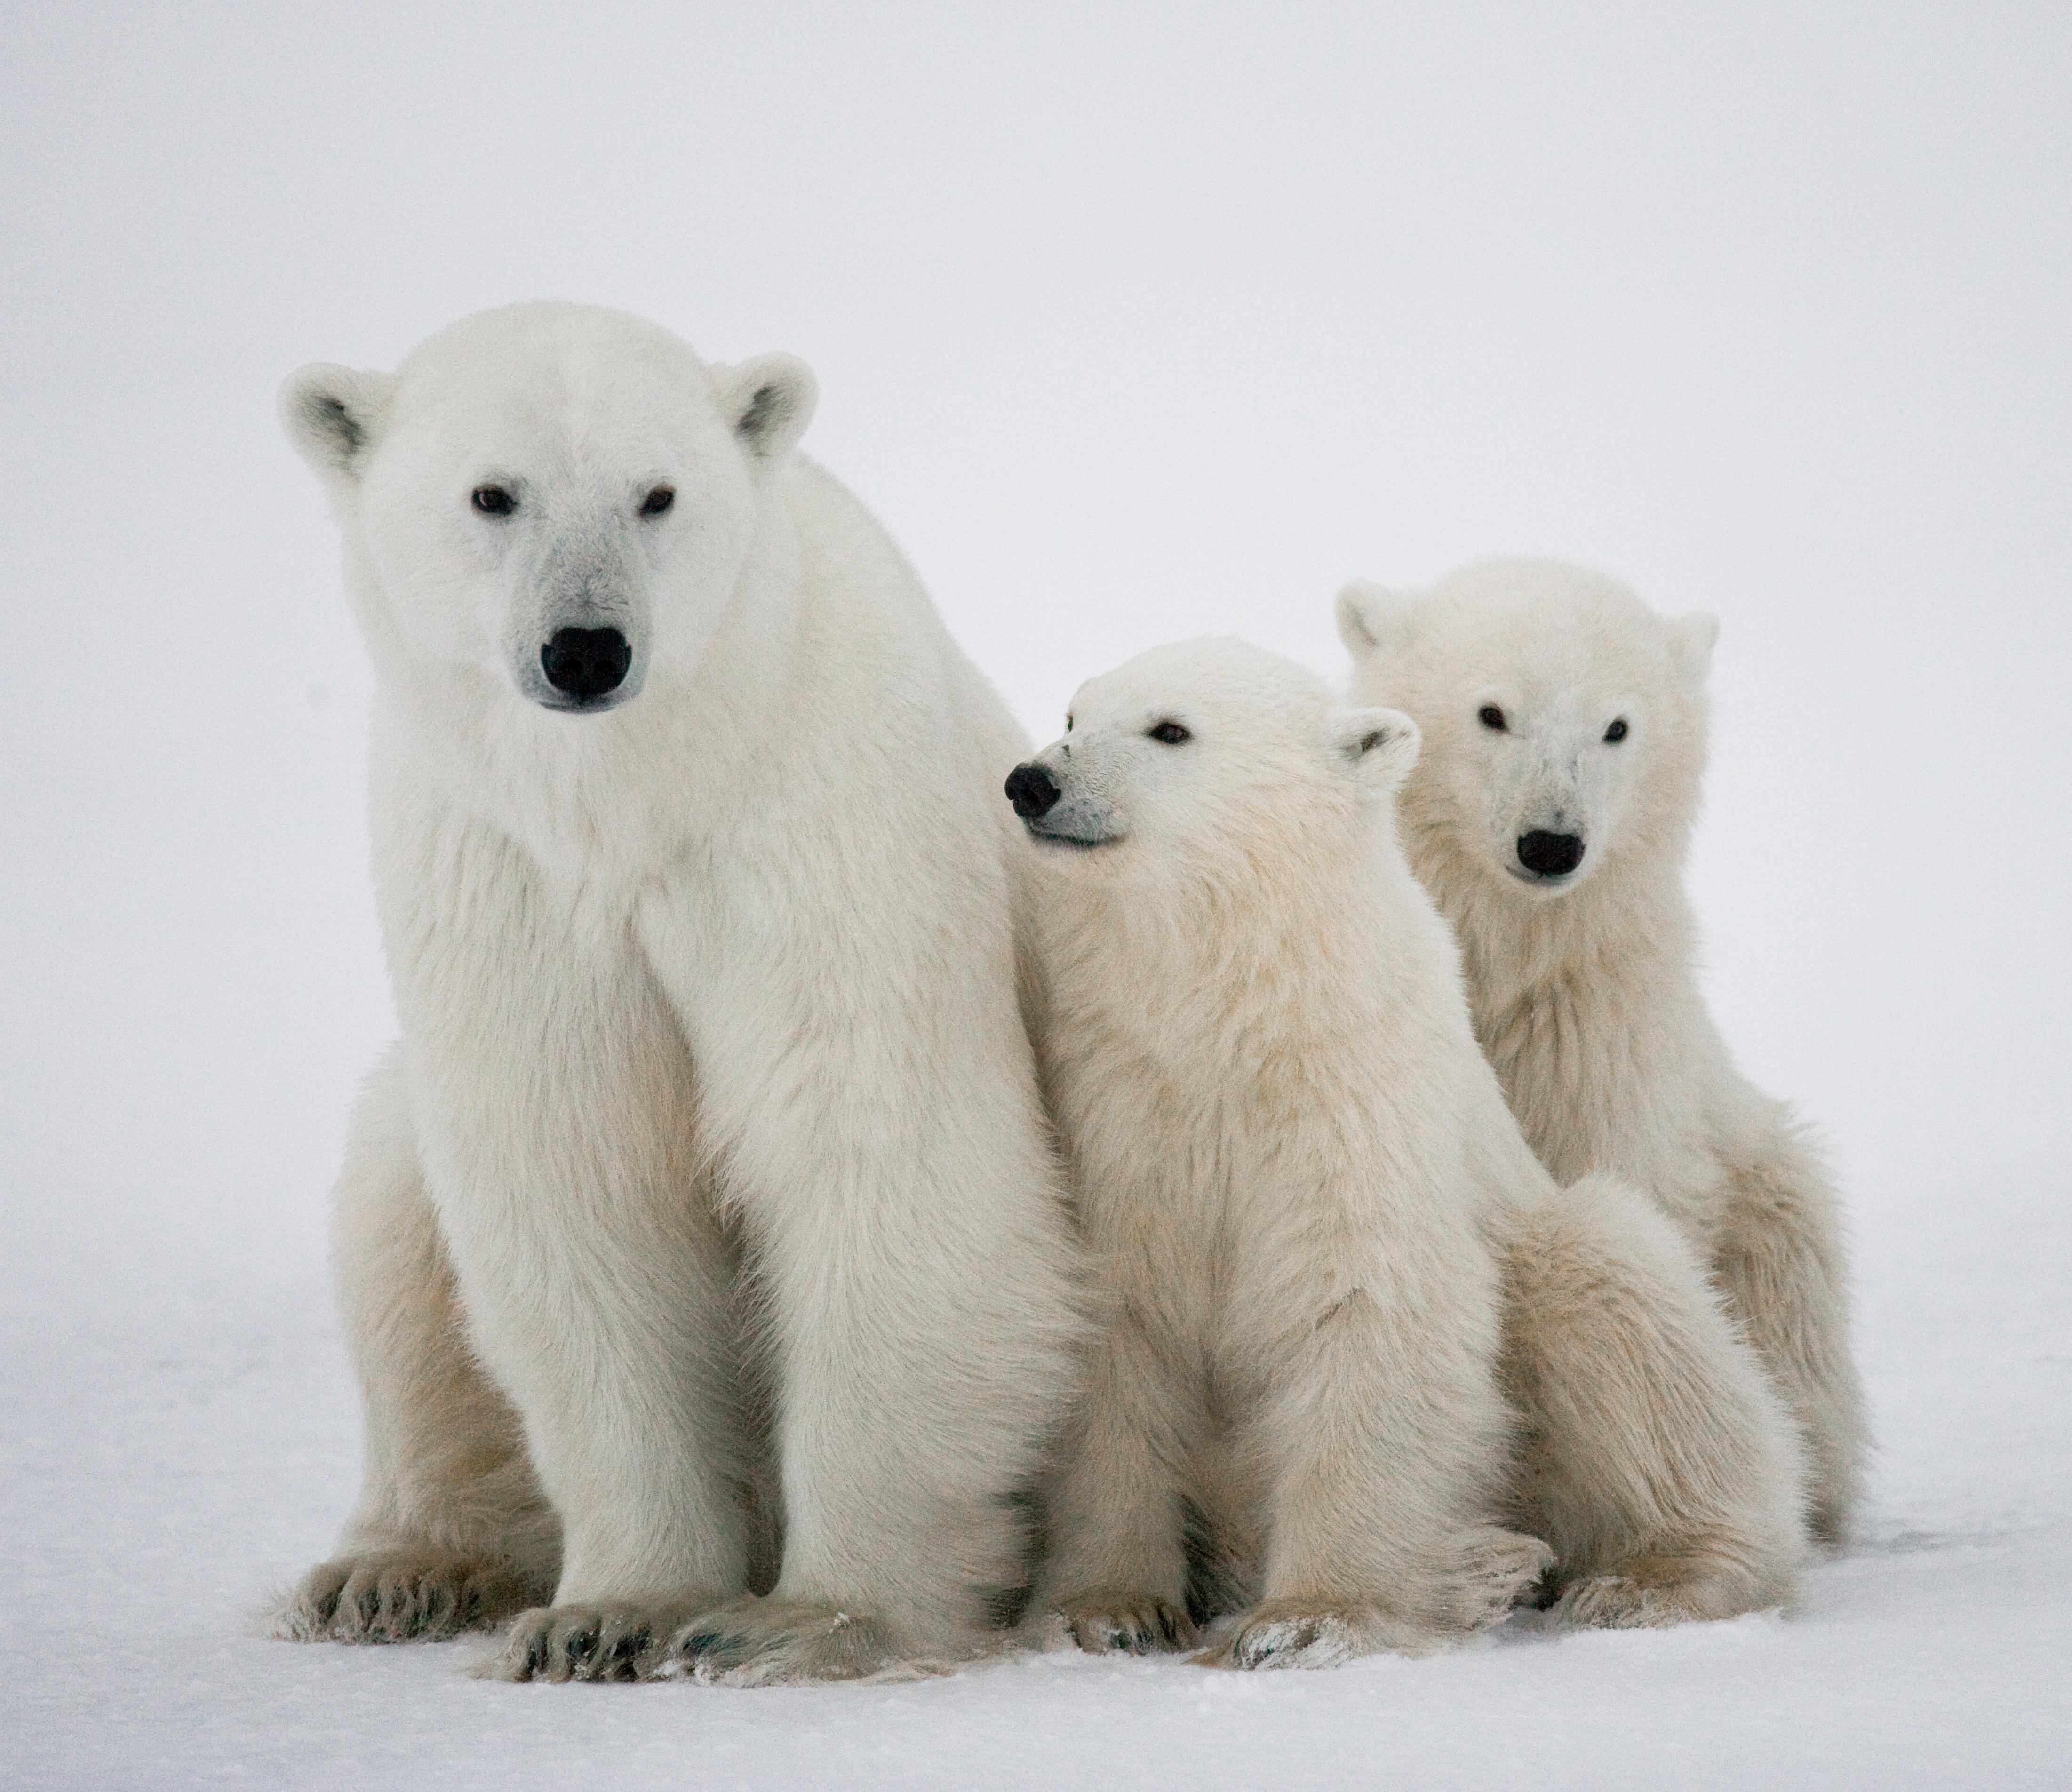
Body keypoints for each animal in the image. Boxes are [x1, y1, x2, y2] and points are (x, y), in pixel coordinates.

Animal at [271, 300, 1085, 1682]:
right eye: (493, 492)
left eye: (657, 494)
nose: (587, 648)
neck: (644, 792)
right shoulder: (504, 870)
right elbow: (580, 1187)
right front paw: (608, 1613)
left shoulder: (816, 822)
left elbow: (875, 1147)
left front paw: (809, 1619)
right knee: (390, 1210)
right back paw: (393, 1572)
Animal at [1011, 638, 1807, 1657]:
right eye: (1074, 715)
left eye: (1169, 728)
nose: (1033, 781)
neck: (1240, 1015)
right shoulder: (1122, 1104)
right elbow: (1119, 1334)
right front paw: (1106, 1608)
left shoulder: (1357, 1098)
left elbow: (1370, 1299)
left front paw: (1308, 1618)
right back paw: (1484, 1566)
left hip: (1551, 1260)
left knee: (1622, 1302)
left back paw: (1641, 1575)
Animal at [1334, 559, 1873, 1541]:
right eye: (1490, 711)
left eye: (1616, 725)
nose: (1550, 842)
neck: (1506, 958)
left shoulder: (1594, 1031)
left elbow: (1617, 1185)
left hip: (1766, 1203)